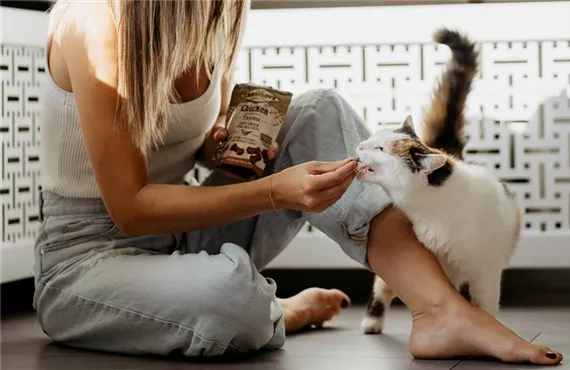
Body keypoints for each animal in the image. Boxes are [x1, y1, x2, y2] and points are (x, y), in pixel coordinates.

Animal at [356, 28, 520, 336]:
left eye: (380, 148)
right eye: (373, 137)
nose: (360, 145)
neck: (436, 210)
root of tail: (446, 151)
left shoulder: (487, 273)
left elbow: (485, 306)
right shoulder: (439, 263)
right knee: (382, 286)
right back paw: (372, 321)